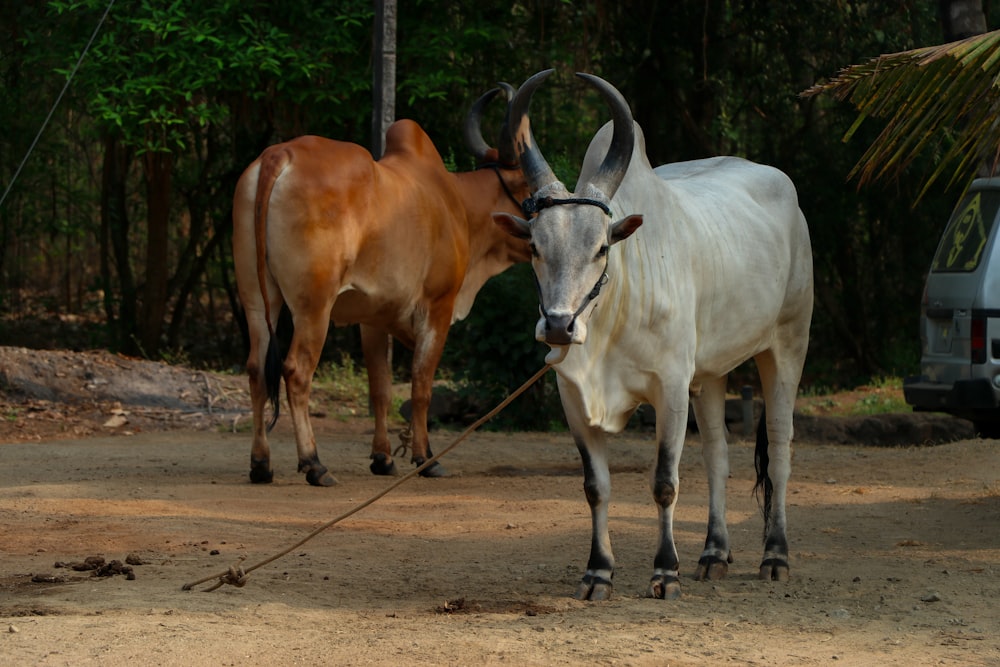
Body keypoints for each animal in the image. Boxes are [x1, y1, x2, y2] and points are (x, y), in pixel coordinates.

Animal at [233, 87, 532, 486]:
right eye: (531, 189)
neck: (456, 204)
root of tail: (278, 154)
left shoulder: (371, 318)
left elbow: (380, 389)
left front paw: (383, 458)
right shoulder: (438, 308)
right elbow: (421, 387)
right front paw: (426, 458)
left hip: (255, 299)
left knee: (255, 368)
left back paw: (261, 464)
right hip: (313, 308)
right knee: (295, 371)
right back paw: (314, 463)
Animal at [492, 70, 812, 604]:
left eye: (602, 248)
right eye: (534, 246)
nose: (558, 325)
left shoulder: (670, 388)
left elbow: (664, 482)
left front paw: (665, 573)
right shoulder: (573, 397)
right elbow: (595, 486)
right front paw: (598, 573)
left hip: (788, 343)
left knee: (780, 451)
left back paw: (776, 557)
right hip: (710, 374)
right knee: (717, 455)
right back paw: (713, 554)